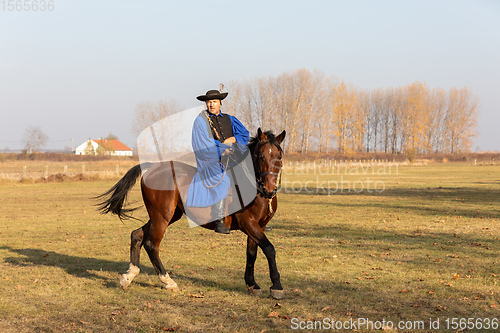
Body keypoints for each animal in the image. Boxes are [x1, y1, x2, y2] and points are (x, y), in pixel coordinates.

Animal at [96, 127, 288, 298]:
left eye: (279, 157)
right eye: (261, 156)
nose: (270, 190)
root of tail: (153, 168)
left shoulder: (258, 226)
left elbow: (252, 253)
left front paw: (252, 284)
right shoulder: (248, 223)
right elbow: (269, 249)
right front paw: (277, 286)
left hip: (167, 216)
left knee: (137, 235)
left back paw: (129, 276)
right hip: (162, 216)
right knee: (151, 244)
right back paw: (168, 281)